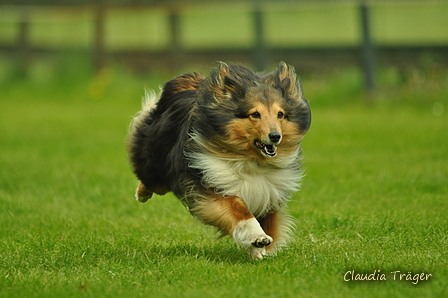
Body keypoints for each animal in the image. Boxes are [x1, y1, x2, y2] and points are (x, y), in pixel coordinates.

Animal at [125, 61, 308, 260]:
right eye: (255, 114)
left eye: (280, 114)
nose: (275, 136)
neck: (249, 160)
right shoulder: (213, 184)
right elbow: (239, 208)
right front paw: (257, 236)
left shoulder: (268, 193)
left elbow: (268, 223)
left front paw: (259, 250)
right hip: (157, 164)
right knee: (150, 179)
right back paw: (142, 194)